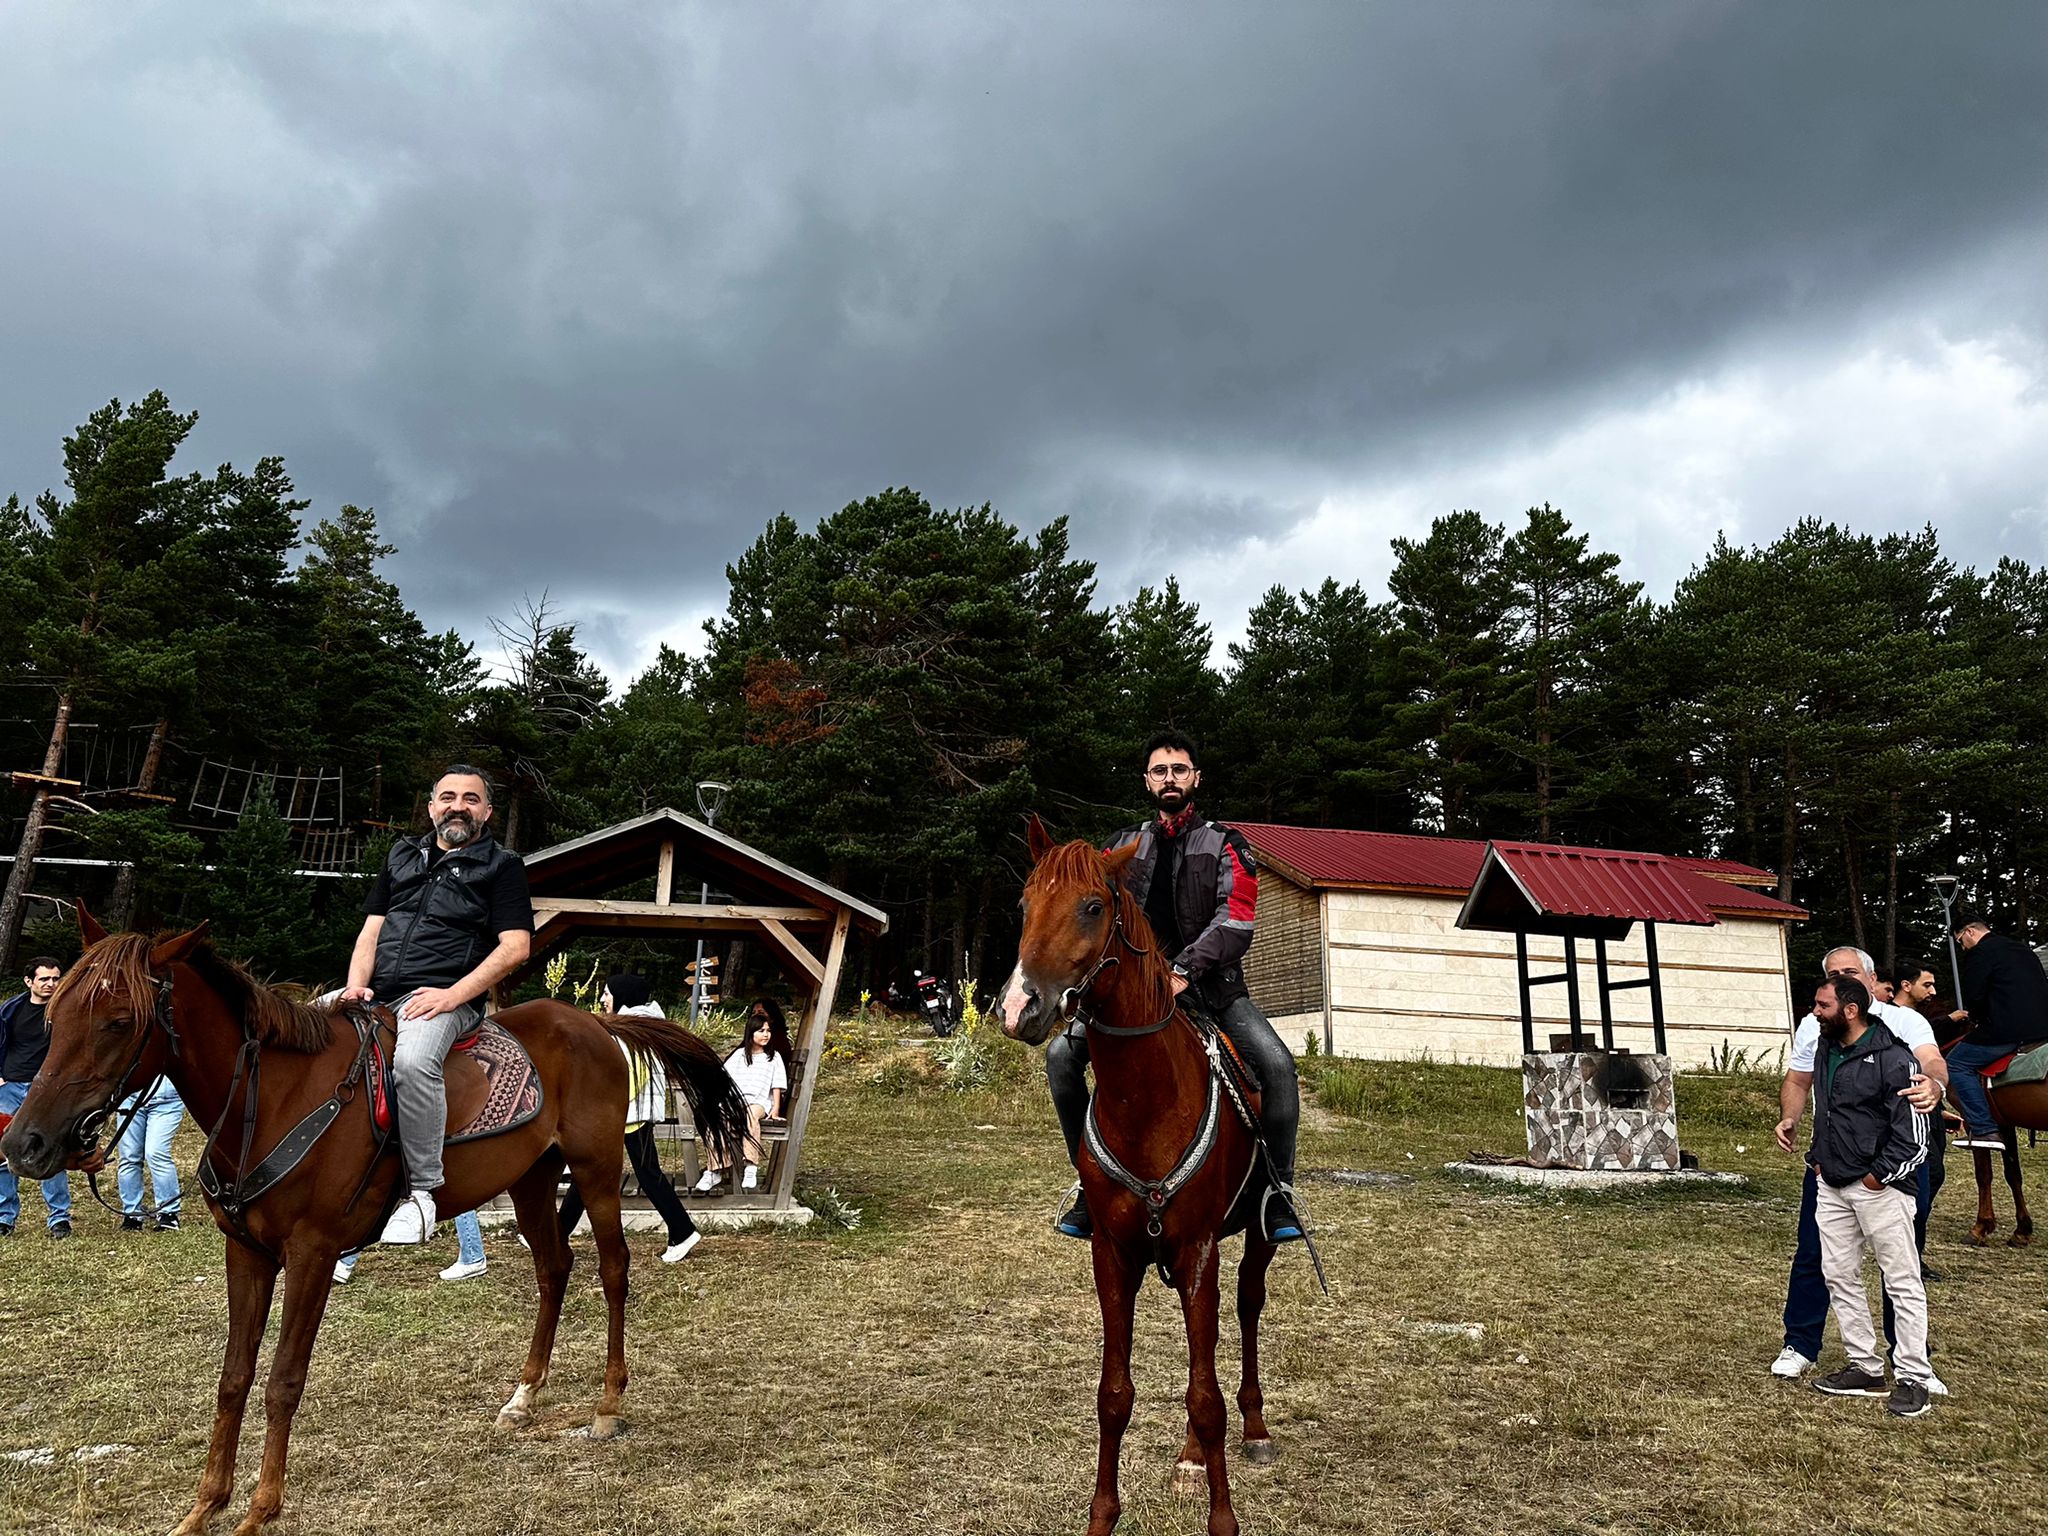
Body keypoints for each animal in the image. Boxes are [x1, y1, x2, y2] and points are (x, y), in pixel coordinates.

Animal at [0, 921, 749, 1531]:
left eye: (118, 1021)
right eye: (56, 1011)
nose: (25, 1145)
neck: (273, 1097)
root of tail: (595, 1025)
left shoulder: (311, 1253)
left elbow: (283, 1380)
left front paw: (260, 1509)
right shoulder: (246, 1253)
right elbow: (234, 1377)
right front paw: (206, 1505)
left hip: (594, 1169)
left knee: (613, 1269)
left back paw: (607, 1404)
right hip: (534, 1178)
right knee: (553, 1269)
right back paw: (524, 1395)